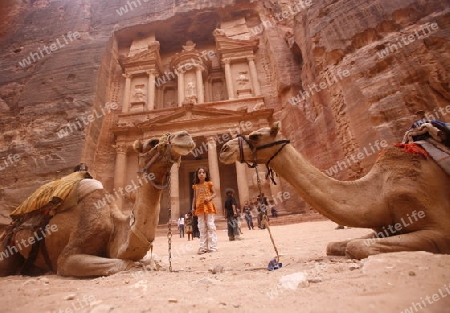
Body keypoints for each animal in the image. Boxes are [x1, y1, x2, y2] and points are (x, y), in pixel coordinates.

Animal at [219, 120, 450, 258]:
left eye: (255, 136)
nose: (224, 149)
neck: (379, 193)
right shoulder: (383, 228)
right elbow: (339, 245)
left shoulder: (439, 228)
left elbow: (355, 246)